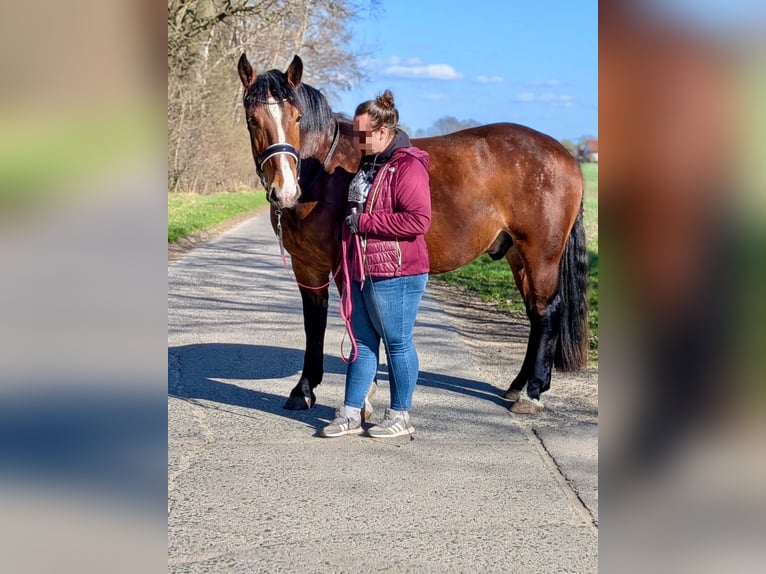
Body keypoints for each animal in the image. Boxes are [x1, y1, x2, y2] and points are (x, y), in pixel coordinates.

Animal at [237, 54, 589, 414]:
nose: (284, 191)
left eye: (296, 117)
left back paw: (533, 393)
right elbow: (314, 323)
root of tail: (564, 155)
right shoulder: (306, 266)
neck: (322, 171)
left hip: (541, 254)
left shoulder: (342, 265)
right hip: (517, 255)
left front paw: (362, 395)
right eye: (252, 120)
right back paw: (518, 386)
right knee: (535, 312)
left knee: (548, 311)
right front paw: (304, 389)